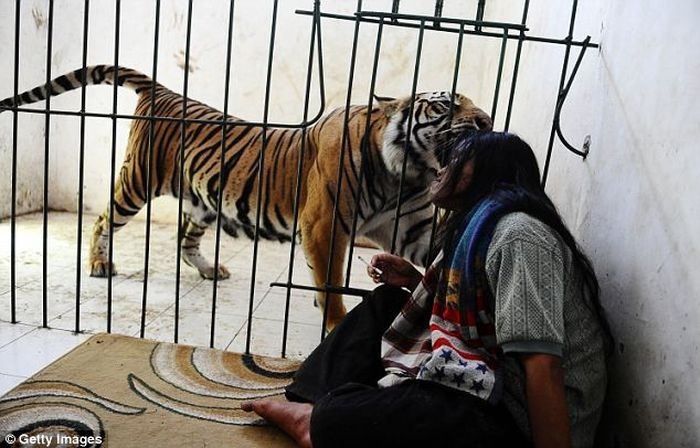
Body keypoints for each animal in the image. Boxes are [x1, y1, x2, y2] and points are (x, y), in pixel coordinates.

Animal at [1, 64, 492, 328]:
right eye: (446, 105)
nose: (486, 121)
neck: (405, 172)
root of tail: (162, 89)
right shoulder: (323, 225)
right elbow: (330, 283)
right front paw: (334, 322)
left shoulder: (411, 228)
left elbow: (442, 250)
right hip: (137, 181)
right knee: (104, 219)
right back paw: (100, 264)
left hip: (203, 200)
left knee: (185, 240)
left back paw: (209, 270)